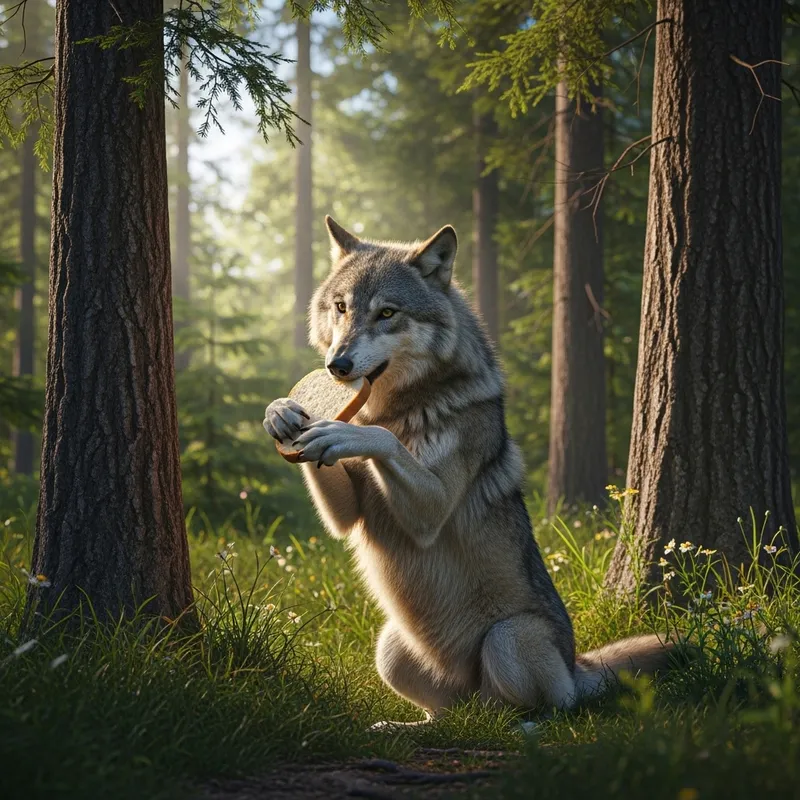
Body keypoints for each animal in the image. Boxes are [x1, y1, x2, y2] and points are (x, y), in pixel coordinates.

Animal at [264, 216, 674, 721]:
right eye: (341, 308)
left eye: (387, 313)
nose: (337, 365)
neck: (398, 408)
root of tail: (577, 666)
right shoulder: (348, 514)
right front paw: (281, 412)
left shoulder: (430, 513)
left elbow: (383, 441)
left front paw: (347, 434)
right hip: (390, 649)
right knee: (446, 715)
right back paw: (403, 726)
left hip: (509, 638)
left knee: (542, 712)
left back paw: (524, 725)